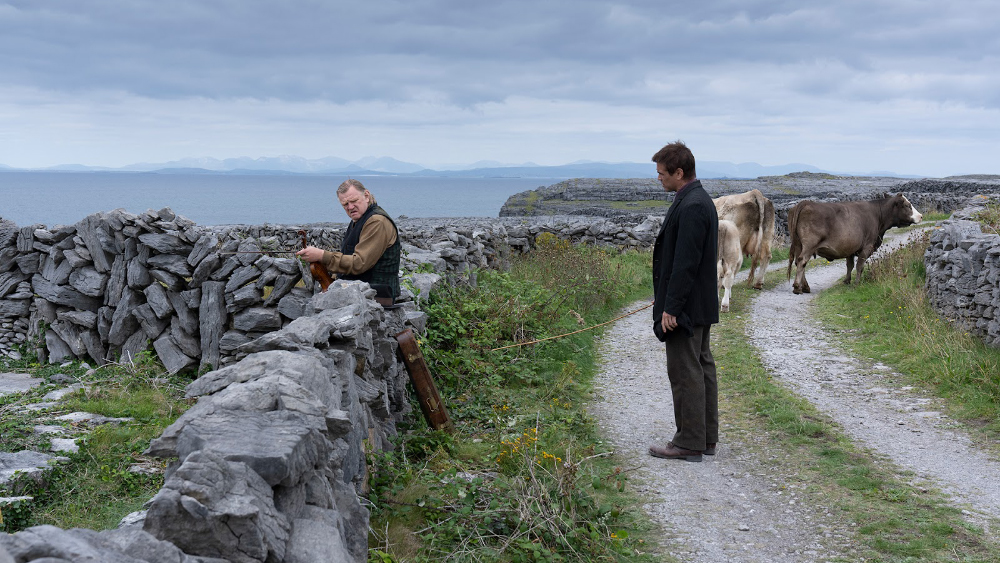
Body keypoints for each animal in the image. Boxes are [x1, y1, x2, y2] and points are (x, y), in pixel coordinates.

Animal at [784, 194, 924, 296]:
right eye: (907, 205)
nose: (921, 216)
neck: (877, 216)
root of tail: (806, 203)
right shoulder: (867, 246)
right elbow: (859, 266)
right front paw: (857, 283)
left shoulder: (850, 248)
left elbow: (849, 265)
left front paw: (847, 281)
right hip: (809, 245)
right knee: (802, 261)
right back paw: (797, 287)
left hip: (798, 244)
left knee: (797, 261)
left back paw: (805, 287)